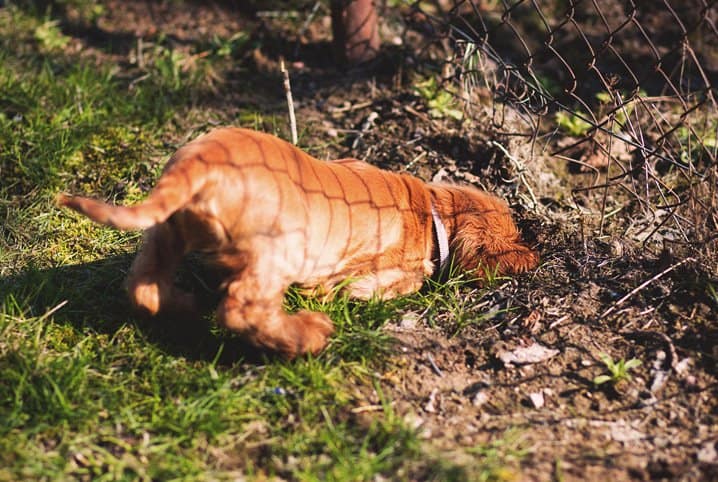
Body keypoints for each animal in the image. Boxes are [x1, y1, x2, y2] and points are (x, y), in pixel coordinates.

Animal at [57, 128, 540, 358]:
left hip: (166, 231)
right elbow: (402, 282)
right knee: (242, 308)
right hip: (277, 251)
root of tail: (201, 163)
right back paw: (308, 335)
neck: (432, 209)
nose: (533, 254)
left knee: (144, 287)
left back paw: (189, 304)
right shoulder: (385, 273)